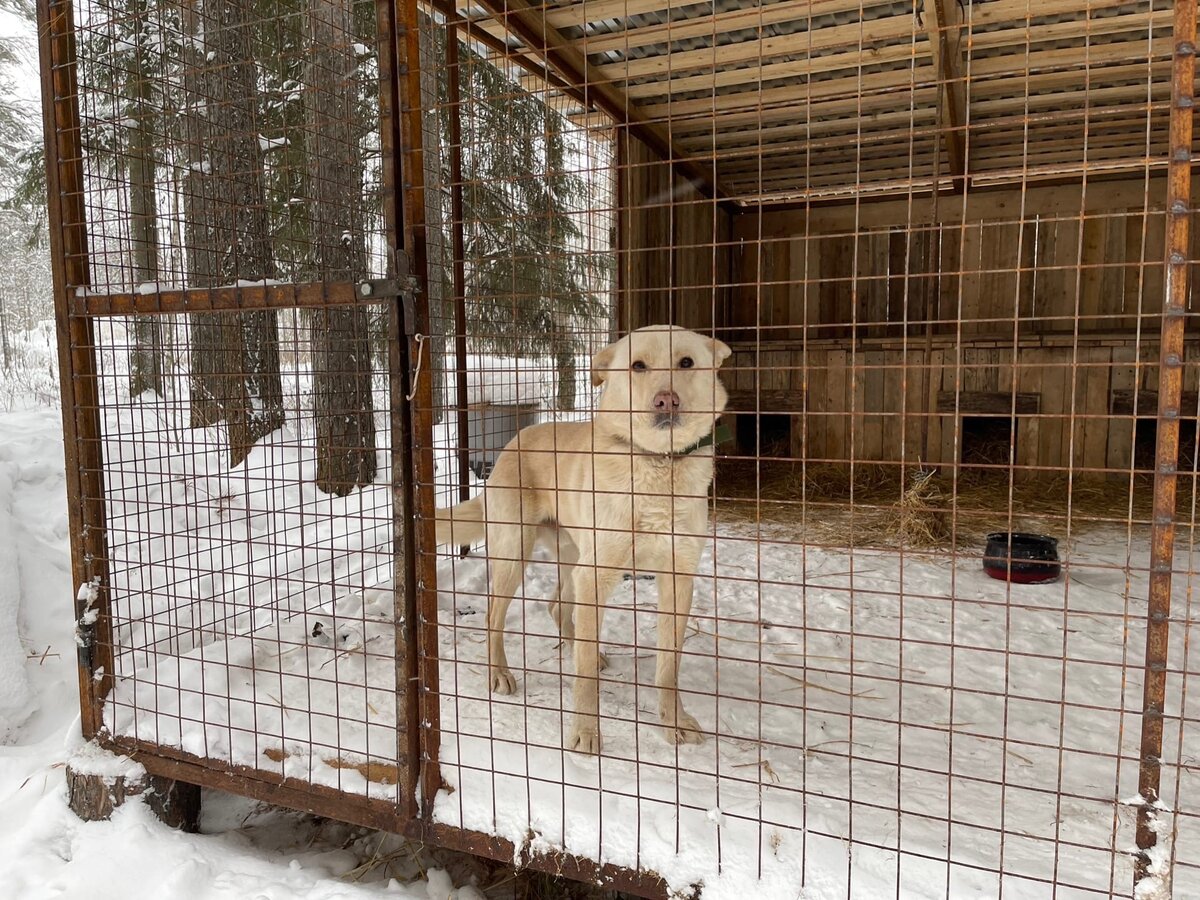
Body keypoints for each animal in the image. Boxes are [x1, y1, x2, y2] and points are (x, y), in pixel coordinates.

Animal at [434, 324, 729, 753]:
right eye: (637, 366)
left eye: (687, 362)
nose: (666, 399)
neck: (657, 465)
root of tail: (511, 443)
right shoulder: (597, 576)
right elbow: (585, 674)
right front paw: (586, 732)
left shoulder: (677, 580)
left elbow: (667, 667)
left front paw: (673, 720)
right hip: (516, 555)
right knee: (493, 616)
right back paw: (499, 674)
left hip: (574, 559)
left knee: (557, 605)